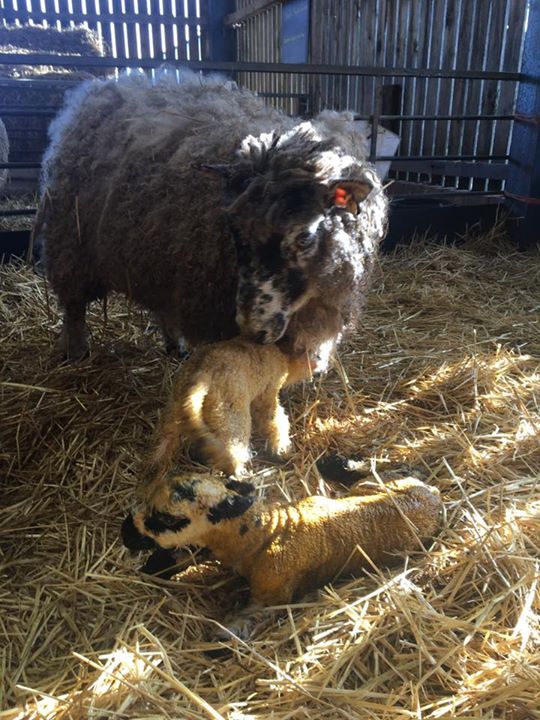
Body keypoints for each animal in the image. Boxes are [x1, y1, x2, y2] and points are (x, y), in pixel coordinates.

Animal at [36, 70, 388, 363]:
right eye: (233, 232)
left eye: (304, 237)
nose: (252, 329)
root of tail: (97, 91)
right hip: (70, 243)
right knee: (74, 304)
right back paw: (75, 350)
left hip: (158, 253)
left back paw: (174, 345)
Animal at [122, 471, 442, 637]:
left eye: (168, 518)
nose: (125, 532)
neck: (264, 534)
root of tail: (433, 493)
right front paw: (155, 566)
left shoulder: (272, 592)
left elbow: (249, 619)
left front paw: (221, 637)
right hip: (373, 486)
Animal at [148, 336, 314, 478]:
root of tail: (201, 377)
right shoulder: (267, 391)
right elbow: (275, 419)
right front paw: (282, 449)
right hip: (230, 417)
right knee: (230, 451)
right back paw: (239, 473)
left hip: (172, 411)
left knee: (163, 445)